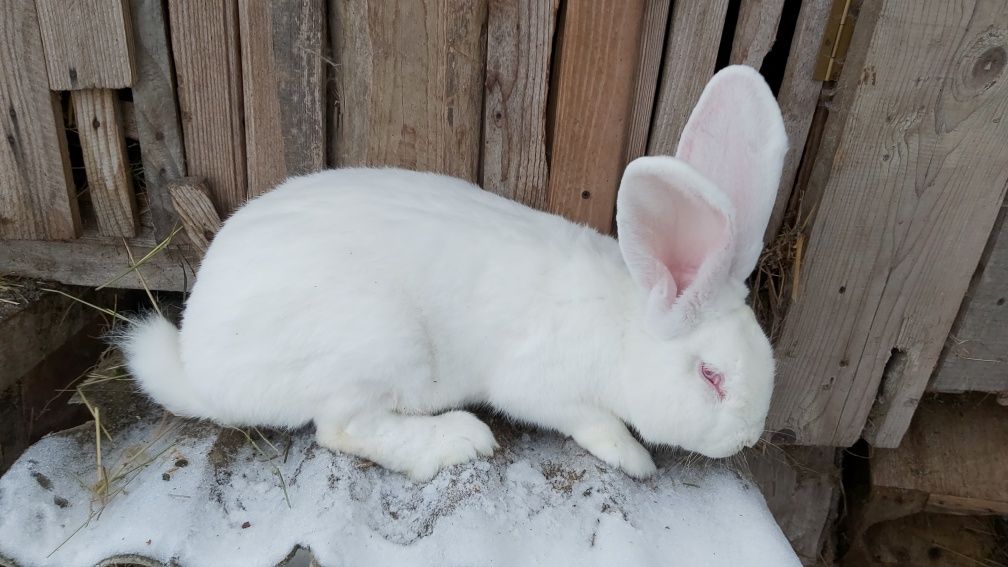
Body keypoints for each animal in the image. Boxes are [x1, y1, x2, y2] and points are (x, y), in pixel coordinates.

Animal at [123, 67, 786, 480]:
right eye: (711, 377)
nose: (749, 438)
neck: (625, 325)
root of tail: (201, 366)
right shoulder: (542, 384)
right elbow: (590, 419)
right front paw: (634, 457)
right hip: (378, 342)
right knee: (342, 428)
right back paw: (459, 440)